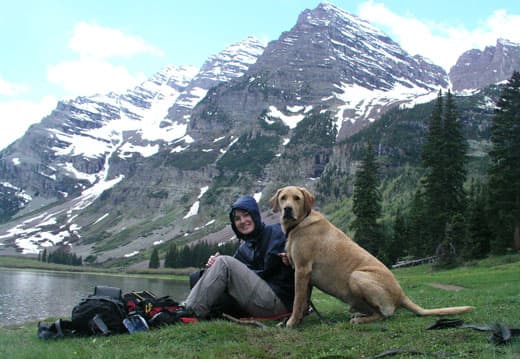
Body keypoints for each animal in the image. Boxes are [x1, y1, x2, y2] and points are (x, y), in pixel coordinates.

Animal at [272, 187, 476, 328]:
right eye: (283, 198)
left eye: (297, 198)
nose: (287, 209)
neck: (297, 225)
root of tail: (401, 294)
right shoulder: (306, 277)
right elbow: (303, 301)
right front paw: (296, 321)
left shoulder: (302, 270)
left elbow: (297, 301)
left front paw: (291, 323)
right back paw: (360, 316)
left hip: (357, 276)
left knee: (385, 314)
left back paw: (361, 320)